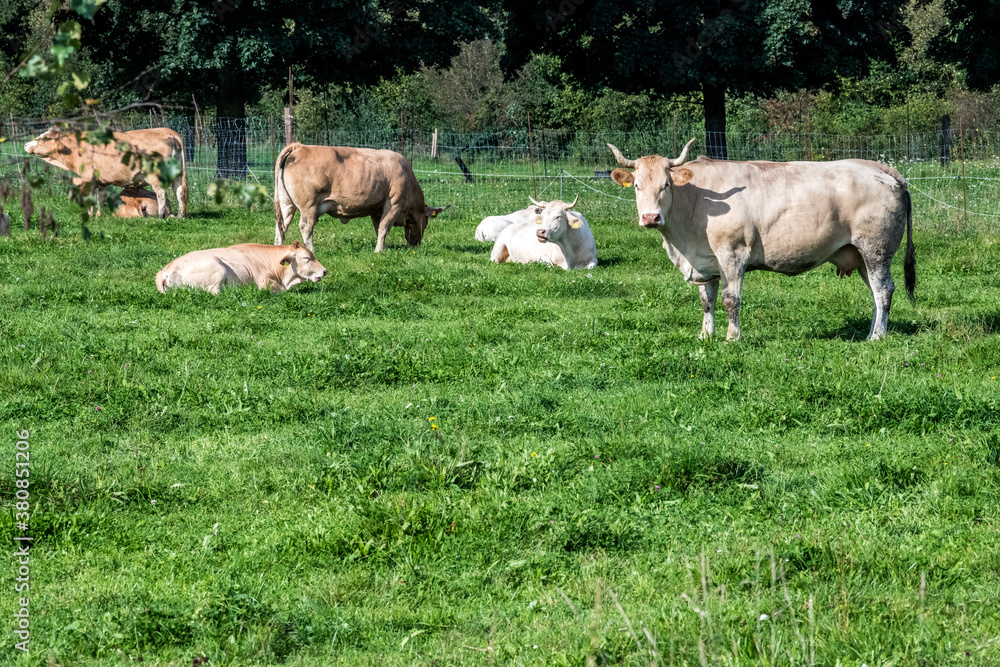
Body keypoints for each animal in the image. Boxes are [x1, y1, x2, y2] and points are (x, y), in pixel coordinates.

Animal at [24, 127, 188, 218]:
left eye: (44, 138)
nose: (25, 144)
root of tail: (168, 132)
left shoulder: (87, 179)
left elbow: (90, 199)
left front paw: (90, 215)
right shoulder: (101, 181)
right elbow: (100, 199)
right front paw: (99, 215)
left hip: (156, 176)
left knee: (161, 194)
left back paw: (161, 216)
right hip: (178, 175)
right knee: (179, 192)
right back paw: (180, 216)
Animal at [155, 241, 326, 295]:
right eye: (306, 258)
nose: (325, 271)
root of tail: (164, 271)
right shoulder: (264, 283)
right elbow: (281, 290)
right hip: (218, 267)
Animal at [273, 143, 449, 253]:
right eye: (425, 223)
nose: (415, 245)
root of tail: (299, 146)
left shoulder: (377, 209)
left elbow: (379, 228)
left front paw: (382, 247)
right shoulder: (394, 203)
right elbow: (385, 226)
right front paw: (378, 251)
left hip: (286, 203)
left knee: (281, 227)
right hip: (308, 206)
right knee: (305, 226)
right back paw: (311, 251)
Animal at [608, 139, 915, 341]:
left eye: (666, 184)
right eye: (637, 186)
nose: (650, 217)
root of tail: (878, 167)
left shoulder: (732, 254)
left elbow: (730, 299)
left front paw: (732, 337)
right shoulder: (705, 261)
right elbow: (707, 300)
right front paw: (706, 336)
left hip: (876, 249)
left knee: (884, 290)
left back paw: (877, 337)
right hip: (860, 254)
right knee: (875, 293)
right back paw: (871, 333)